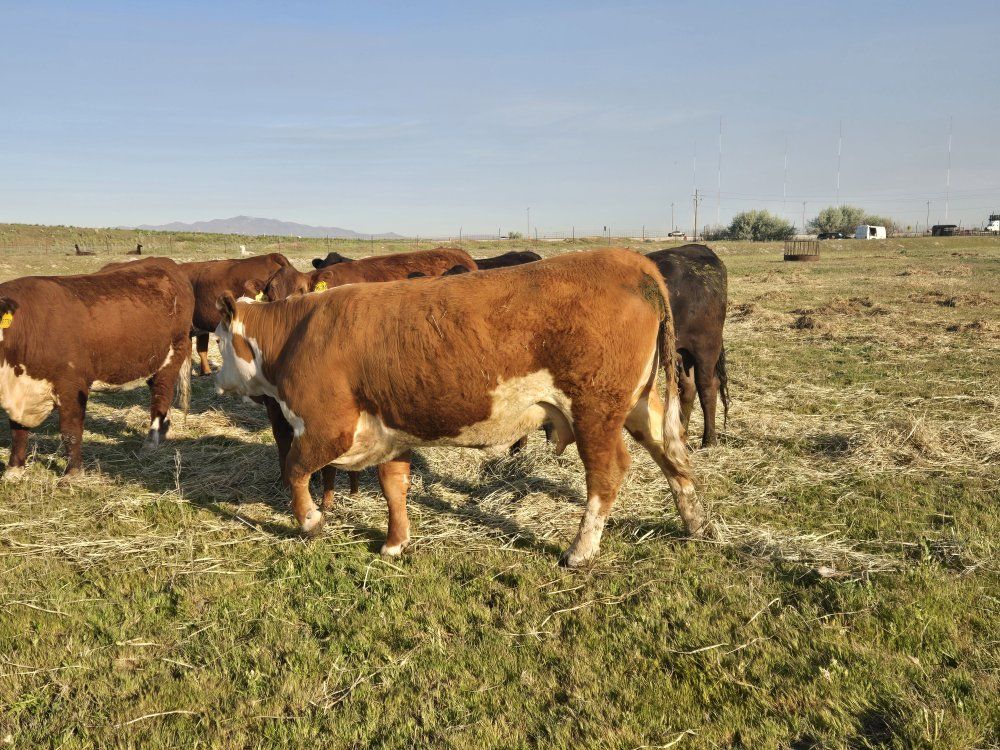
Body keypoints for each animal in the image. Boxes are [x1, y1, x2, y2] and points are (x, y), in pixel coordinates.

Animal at [0, 257, 195, 478]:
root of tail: (168, 263)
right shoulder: (18, 391)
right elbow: (18, 432)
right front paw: (13, 470)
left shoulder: (72, 384)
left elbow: (70, 430)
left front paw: (73, 473)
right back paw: (163, 431)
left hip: (173, 354)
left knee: (161, 396)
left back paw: (151, 441)